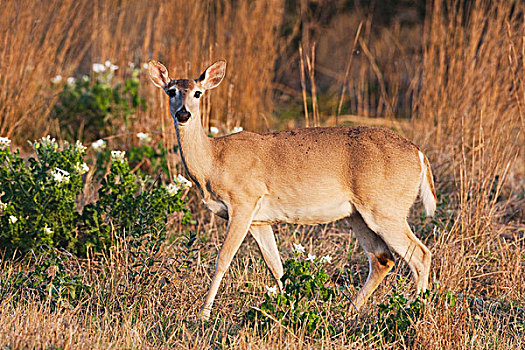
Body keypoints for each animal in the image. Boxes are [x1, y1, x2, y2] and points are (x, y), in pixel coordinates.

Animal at [148, 59, 438, 320]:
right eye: (171, 91)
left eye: (198, 92)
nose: (183, 114)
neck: (213, 160)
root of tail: (419, 154)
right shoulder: (260, 220)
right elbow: (276, 267)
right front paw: (288, 308)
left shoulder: (243, 202)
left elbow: (223, 259)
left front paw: (203, 315)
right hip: (358, 215)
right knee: (382, 258)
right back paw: (348, 312)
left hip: (385, 208)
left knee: (420, 254)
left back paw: (415, 311)